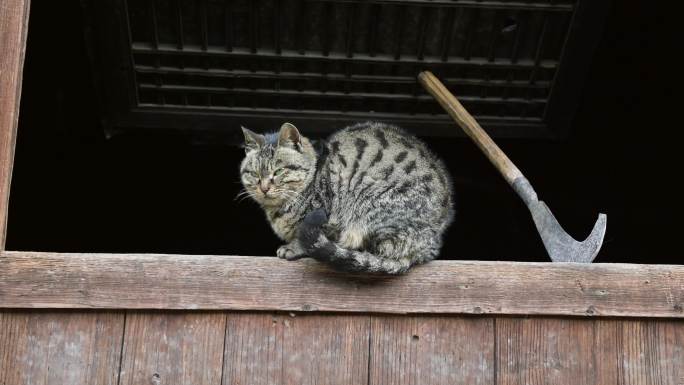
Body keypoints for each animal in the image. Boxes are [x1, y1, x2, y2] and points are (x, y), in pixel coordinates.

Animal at [240, 121, 454, 272]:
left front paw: (292, 247)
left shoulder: (329, 216)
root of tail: (427, 247)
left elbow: (308, 237)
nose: (264, 188)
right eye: (254, 174)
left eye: (278, 171)